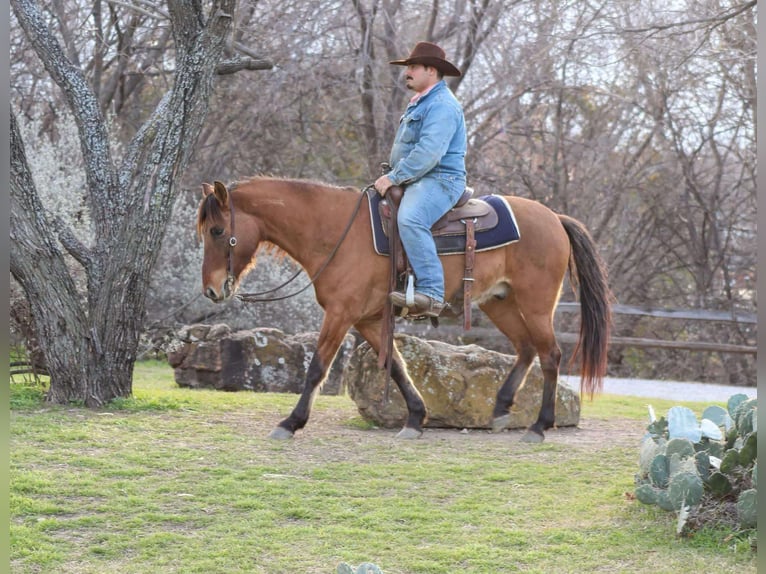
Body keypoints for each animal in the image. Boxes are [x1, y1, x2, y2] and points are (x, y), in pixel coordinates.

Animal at [196, 178, 612, 444]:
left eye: (217, 231)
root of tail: (554, 218)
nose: (212, 290)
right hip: (501, 303)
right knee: (526, 349)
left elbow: (317, 368)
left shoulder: (341, 314)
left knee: (550, 354)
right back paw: (500, 409)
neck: (335, 231)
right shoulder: (368, 319)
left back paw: (539, 426)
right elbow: (395, 365)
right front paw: (415, 417)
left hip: (536, 304)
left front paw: (291, 422)